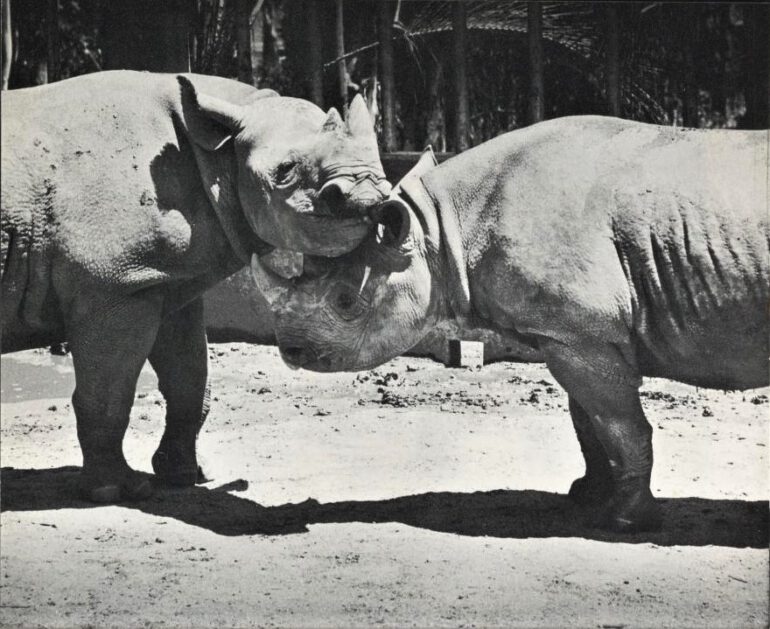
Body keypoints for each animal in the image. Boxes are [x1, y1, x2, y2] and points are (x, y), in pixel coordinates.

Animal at [1, 70, 388, 502]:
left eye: (376, 165)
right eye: (285, 170)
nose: (367, 194)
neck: (219, 153)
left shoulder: (167, 279)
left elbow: (190, 381)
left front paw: (188, 475)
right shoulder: (116, 285)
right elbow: (109, 392)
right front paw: (117, 490)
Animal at [251, 116, 769, 532]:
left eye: (344, 301)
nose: (290, 351)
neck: (442, 230)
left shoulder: (582, 333)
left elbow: (619, 424)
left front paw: (624, 522)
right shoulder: (573, 333)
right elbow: (589, 421)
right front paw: (586, 496)